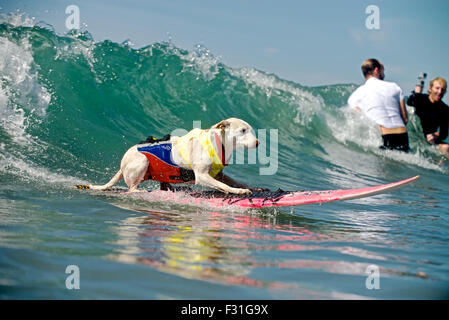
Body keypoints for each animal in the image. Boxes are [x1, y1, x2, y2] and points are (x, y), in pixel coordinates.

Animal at [88, 117, 260, 192]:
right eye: (243, 130)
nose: (258, 142)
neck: (219, 143)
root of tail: (121, 166)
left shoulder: (219, 174)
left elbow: (235, 182)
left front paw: (252, 188)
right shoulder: (202, 176)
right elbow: (224, 186)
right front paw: (239, 192)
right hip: (142, 161)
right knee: (131, 188)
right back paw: (139, 190)